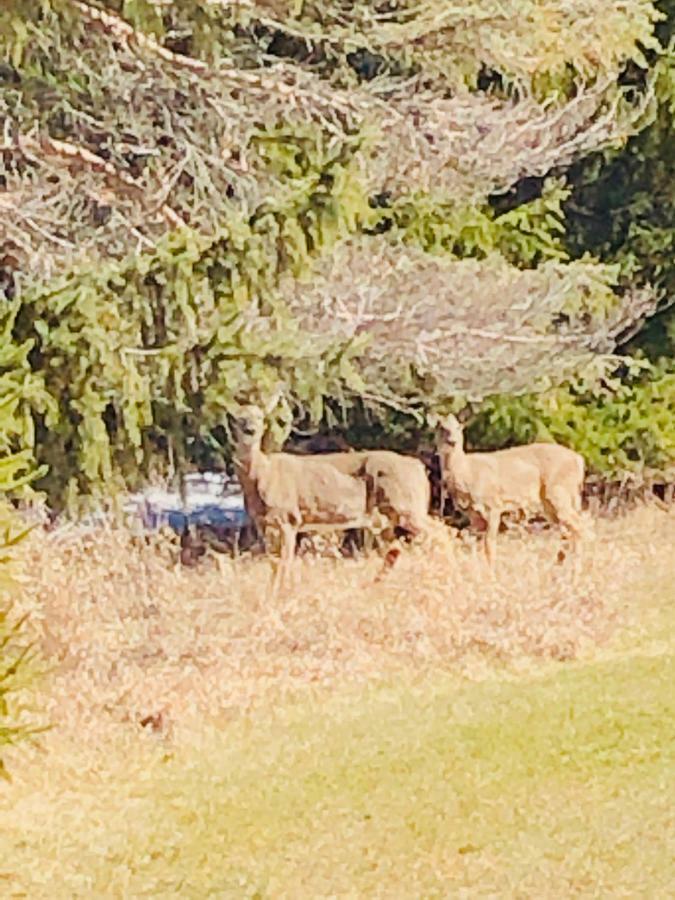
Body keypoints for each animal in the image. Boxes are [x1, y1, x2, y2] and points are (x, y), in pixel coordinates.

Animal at [438, 414, 588, 568]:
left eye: (459, 427)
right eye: (442, 427)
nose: (452, 441)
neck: (467, 472)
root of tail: (579, 460)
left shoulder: (493, 505)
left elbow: (489, 544)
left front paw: (492, 570)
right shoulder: (473, 515)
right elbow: (471, 543)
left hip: (559, 492)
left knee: (579, 526)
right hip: (551, 503)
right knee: (566, 531)